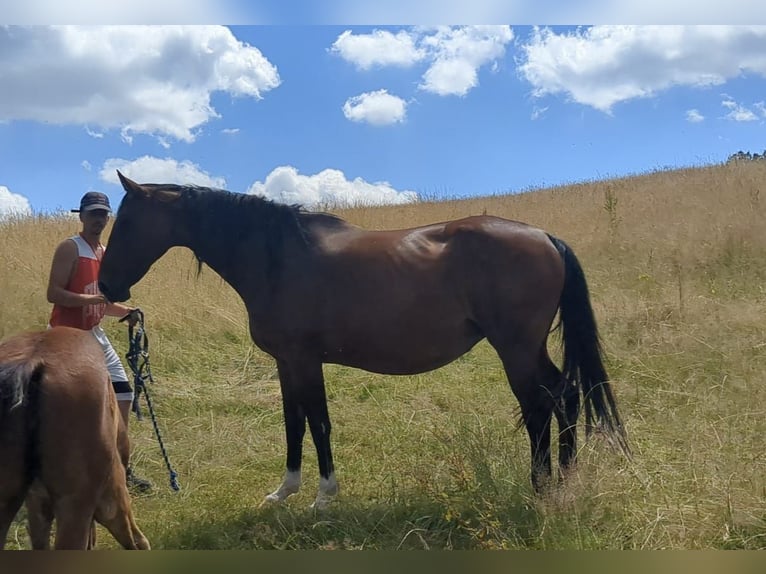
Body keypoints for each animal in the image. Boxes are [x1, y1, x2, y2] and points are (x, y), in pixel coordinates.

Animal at [99, 171, 629, 509]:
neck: (277, 258)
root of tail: (544, 236)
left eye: (127, 222)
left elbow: (318, 423)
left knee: (542, 405)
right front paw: (284, 491)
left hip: (515, 349)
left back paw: (541, 487)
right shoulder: (287, 363)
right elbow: (293, 424)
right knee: (566, 395)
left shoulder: (305, 361)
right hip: (529, 350)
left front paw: (323, 496)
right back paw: (565, 479)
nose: (105, 286)